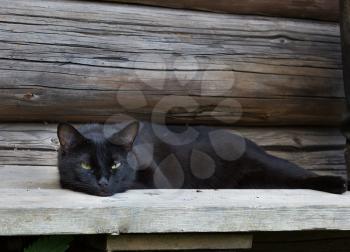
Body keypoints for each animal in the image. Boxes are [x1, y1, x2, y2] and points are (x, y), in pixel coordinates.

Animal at [57, 121, 348, 196]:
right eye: (85, 164)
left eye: (116, 164)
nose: (104, 183)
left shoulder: (160, 180)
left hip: (270, 165)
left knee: (300, 174)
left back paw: (337, 184)